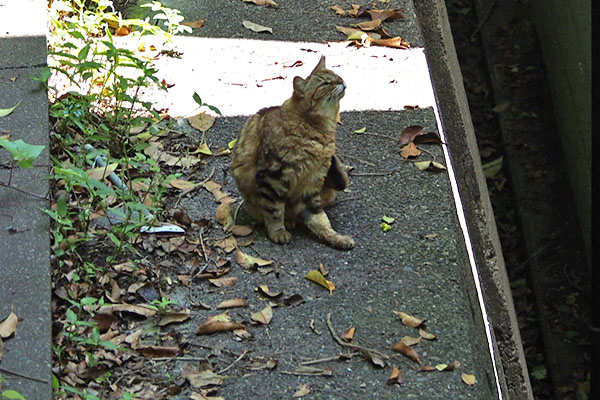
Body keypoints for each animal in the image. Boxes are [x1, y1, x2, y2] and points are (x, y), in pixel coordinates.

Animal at [229, 55, 352, 250]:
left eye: (337, 76)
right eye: (325, 83)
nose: (341, 81)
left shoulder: (311, 185)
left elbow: (321, 220)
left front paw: (335, 237)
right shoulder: (272, 177)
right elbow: (274, 212)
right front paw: (278, 232)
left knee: (340, 181)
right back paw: (288, 222)